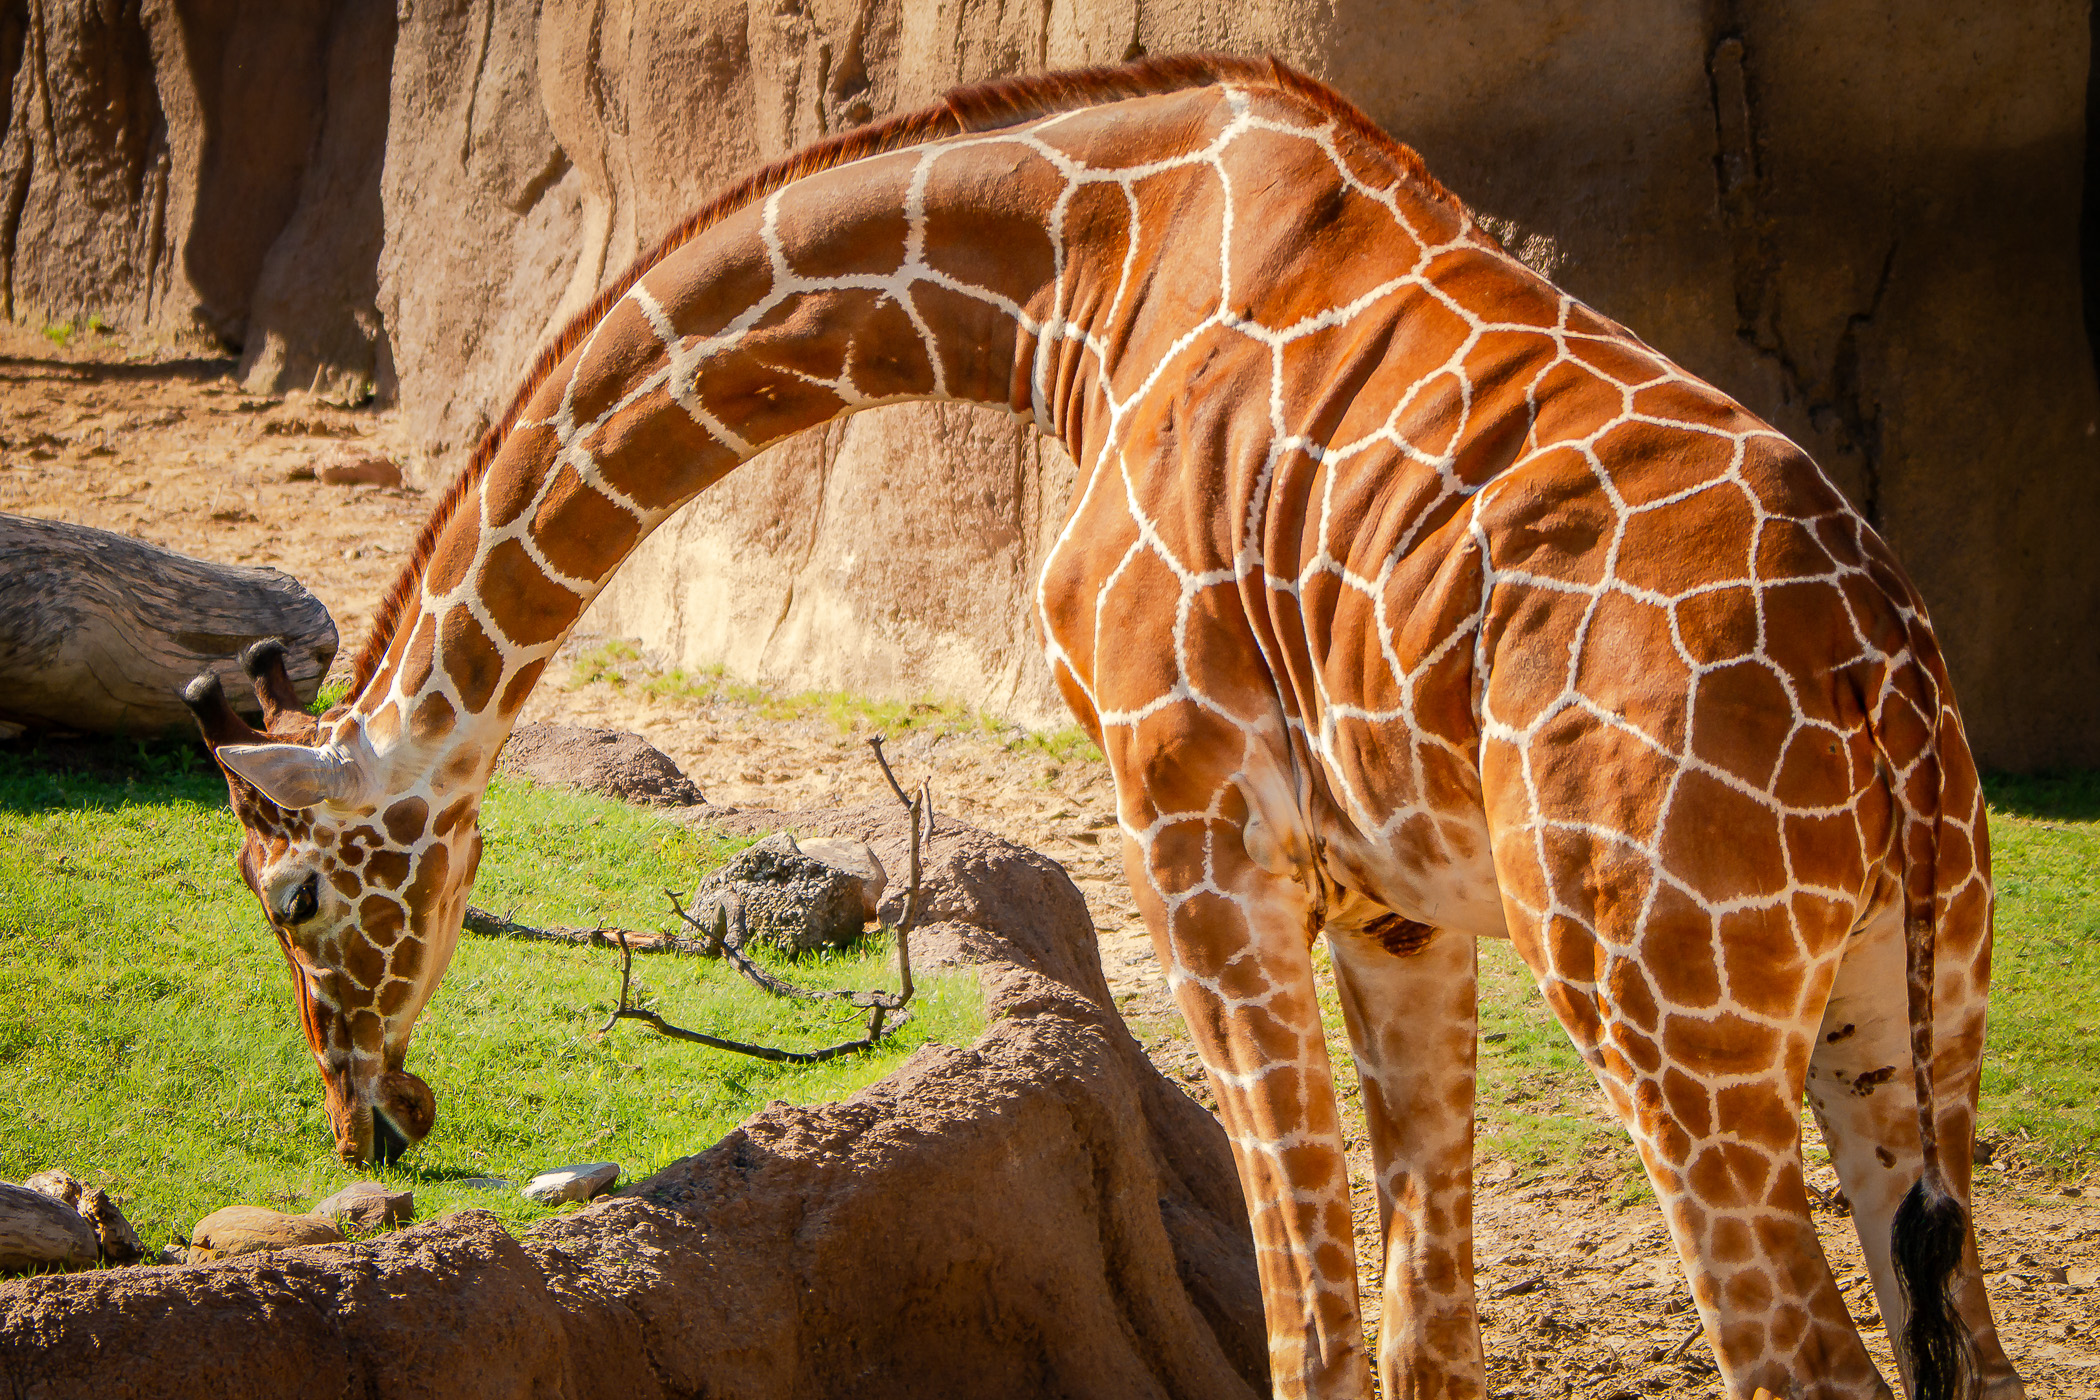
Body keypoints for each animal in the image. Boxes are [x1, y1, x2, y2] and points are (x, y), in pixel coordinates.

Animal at [180, 54, 2015, 1400]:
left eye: (295, 896)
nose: (370, 1113)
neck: (1075, 274)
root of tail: (1889, 681)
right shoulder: (1398, 901)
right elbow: (1424, 1336)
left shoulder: (1187, 823)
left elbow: (1312, 1329)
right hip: (1900, 1004)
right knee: (1960, 1349)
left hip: (1661, 1004)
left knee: (1803, 1362)